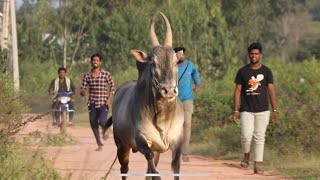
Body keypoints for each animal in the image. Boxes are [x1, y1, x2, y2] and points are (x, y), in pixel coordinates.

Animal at [105, 11, 184, 179]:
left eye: (176, 62)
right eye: (153, 63)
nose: (169, 91)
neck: (162, 117)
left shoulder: (176, 141)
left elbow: (174, 167)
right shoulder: (142, 141)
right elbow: (154, 169)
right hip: (122, 146)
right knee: (124, 169)